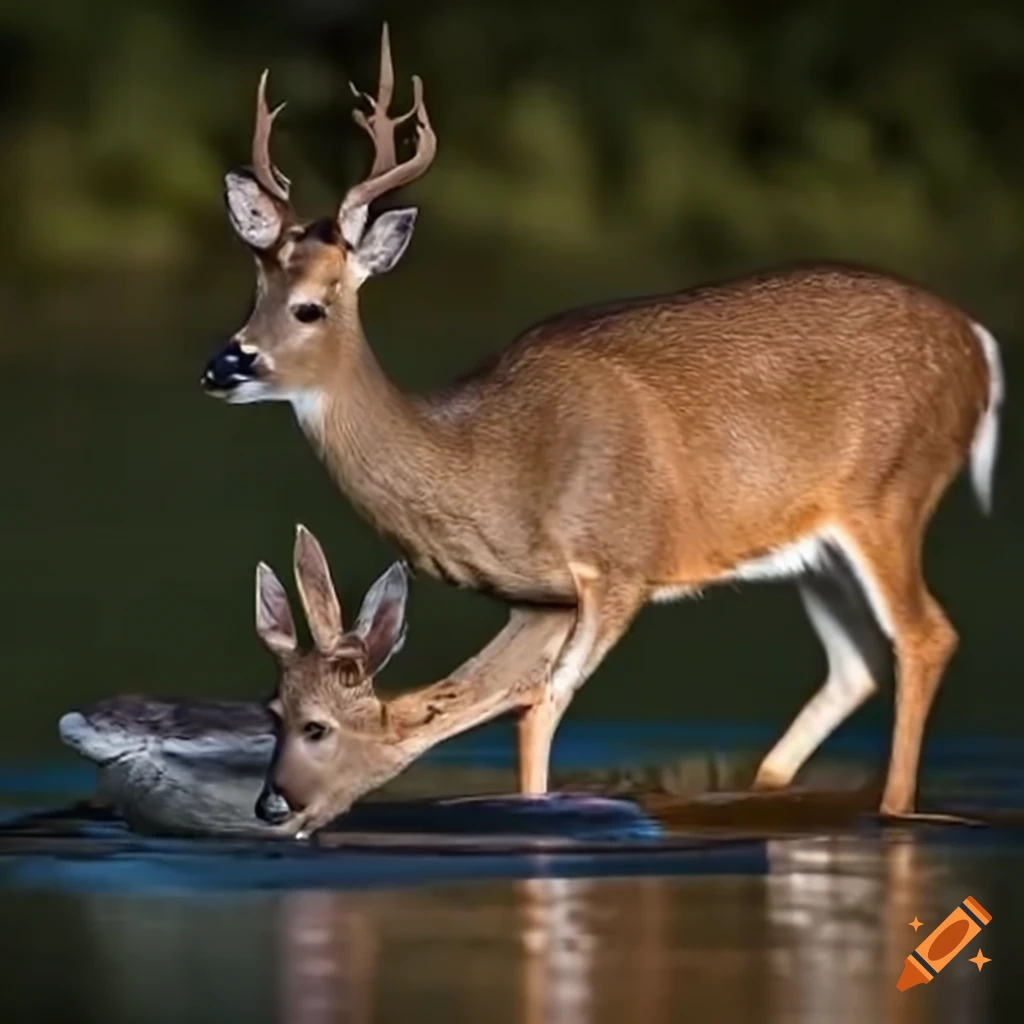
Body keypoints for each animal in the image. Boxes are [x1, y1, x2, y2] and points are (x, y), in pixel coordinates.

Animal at [202, 23, 1005, 832]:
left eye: (311, 306)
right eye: (254, 291)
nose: (224, 364)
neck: (486, 457)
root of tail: (980, 348)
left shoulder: (618, 566)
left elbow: (538, 706)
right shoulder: (540, 597)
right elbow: (507, 700)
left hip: (889, 495)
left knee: (924, 637)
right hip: (815, 546)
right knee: (855, 665)